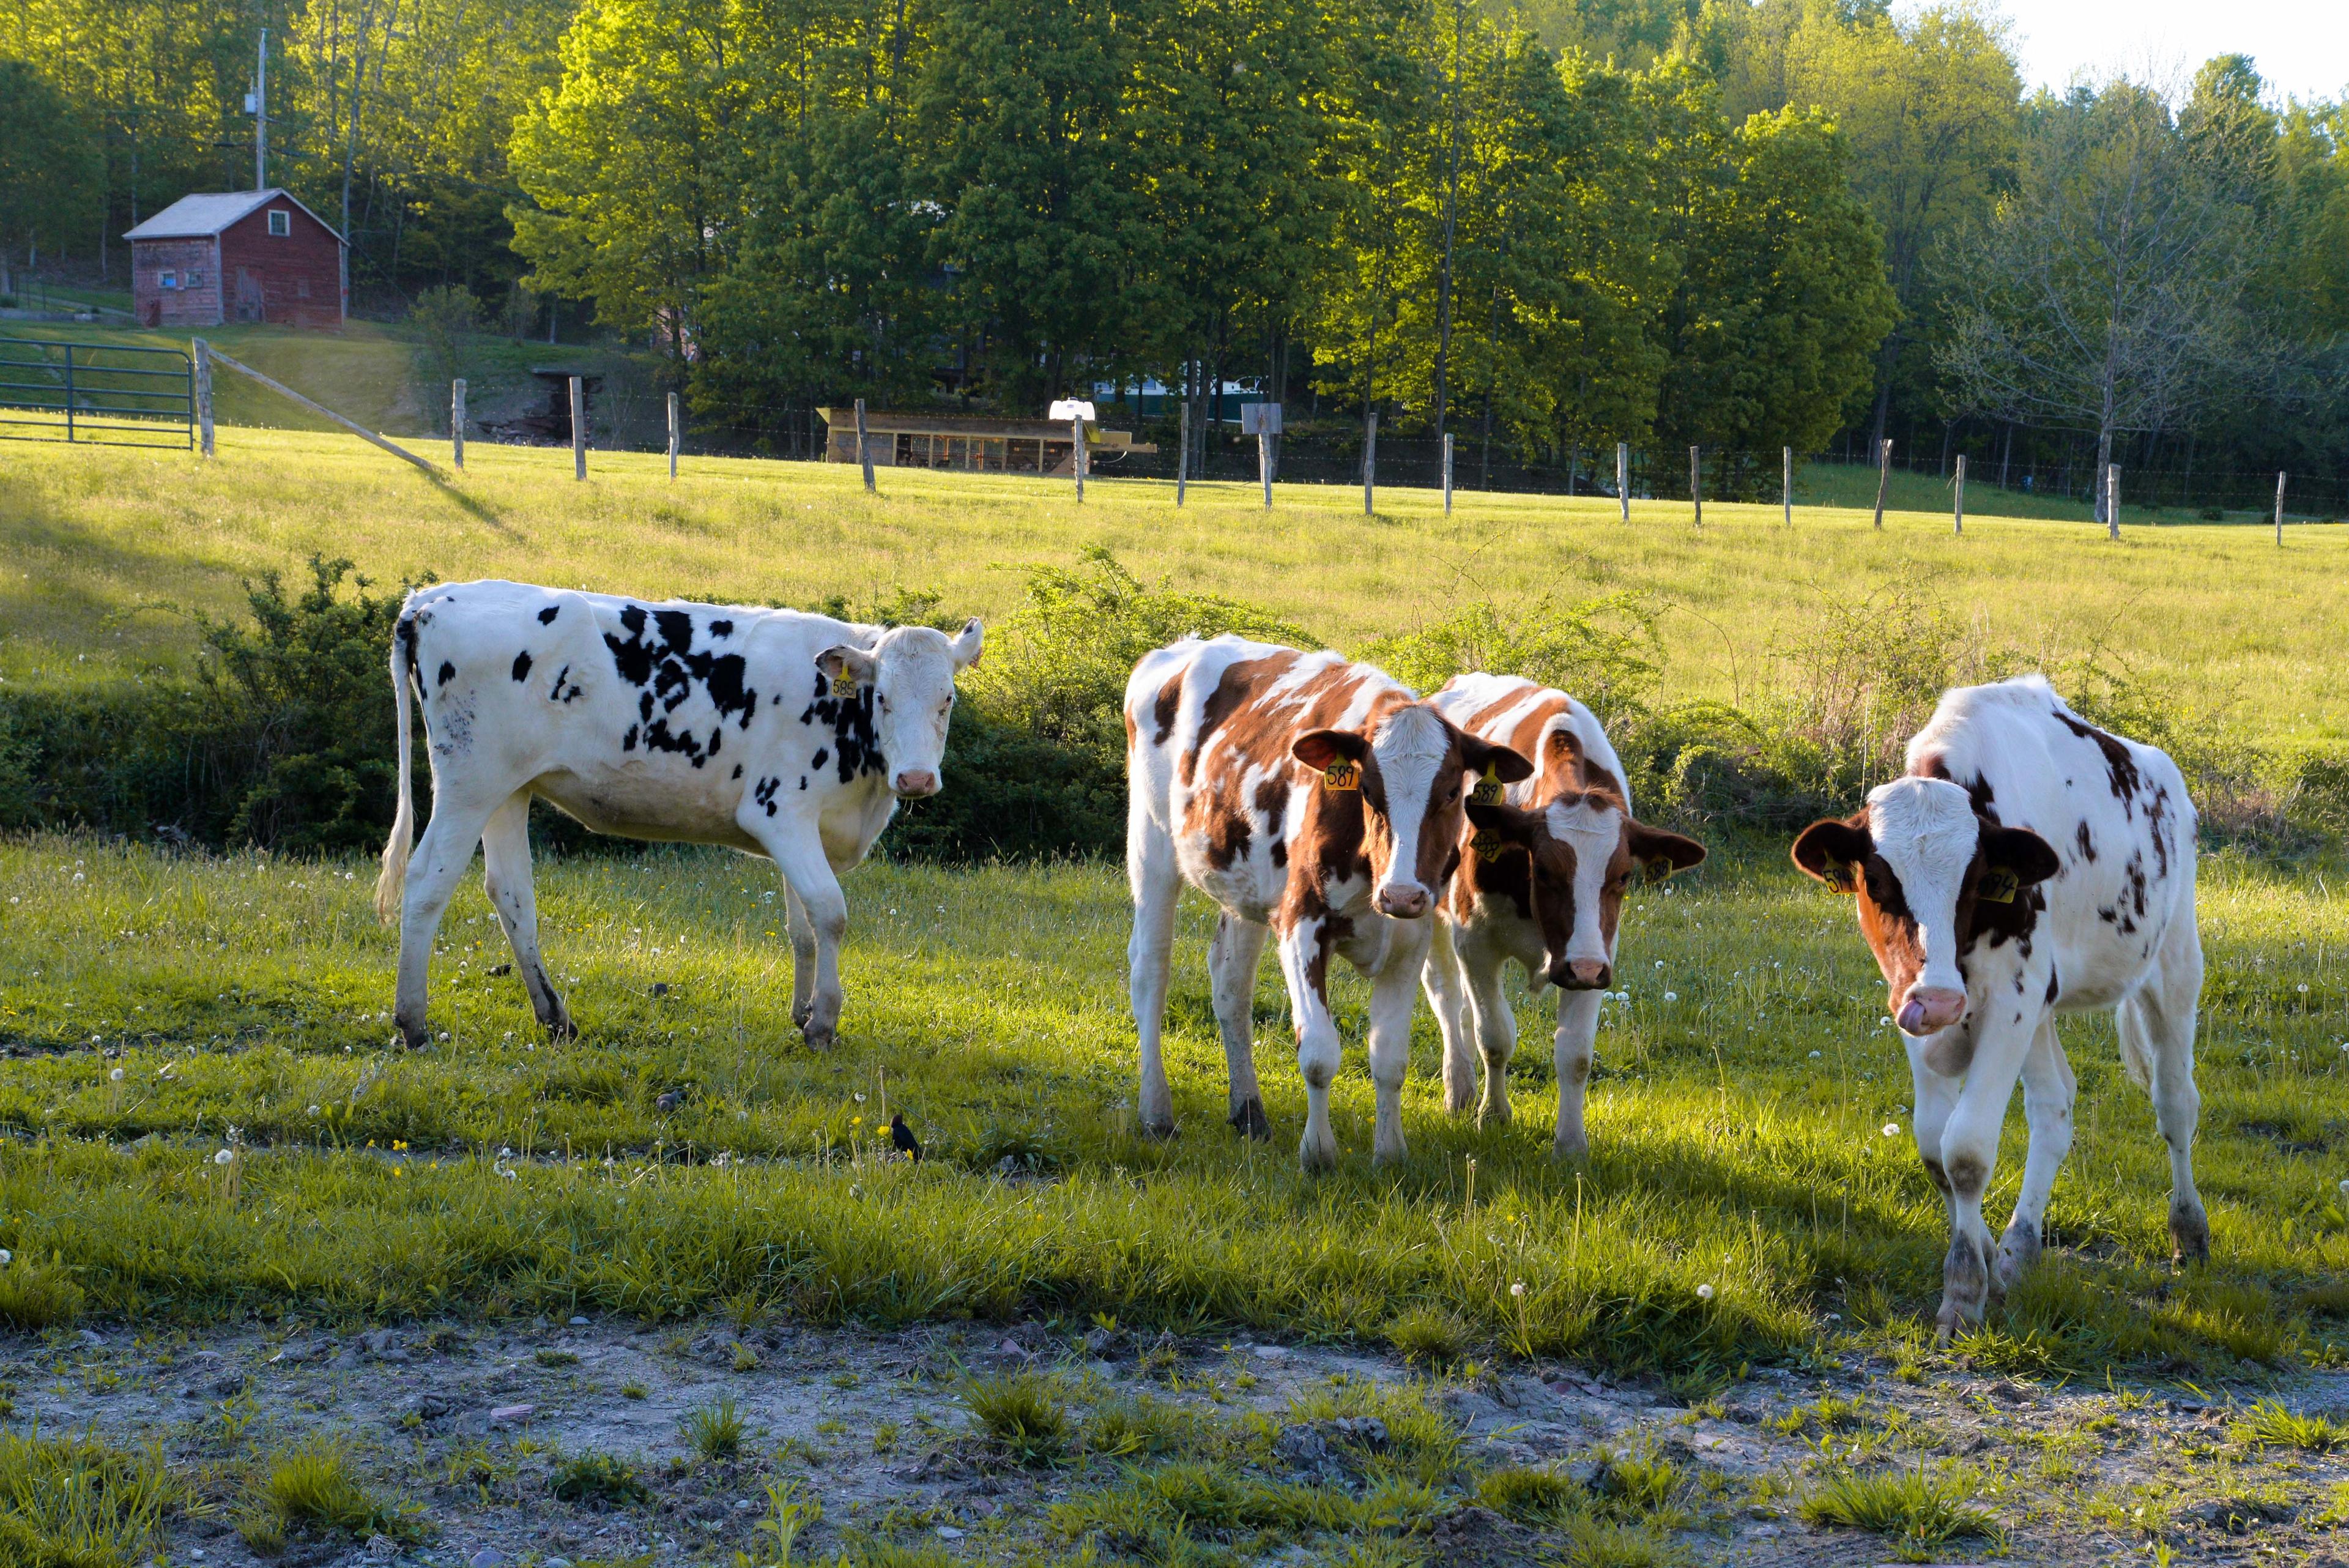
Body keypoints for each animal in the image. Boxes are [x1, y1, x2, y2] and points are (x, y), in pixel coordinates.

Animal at [374, 580, 982, 1051]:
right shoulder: (779, 810)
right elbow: (829, 913)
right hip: (469, 783)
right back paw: (413, 1022)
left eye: (948, 699)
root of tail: (430, 598)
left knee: (512, 892)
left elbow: (802, 927)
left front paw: (802, 1011)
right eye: (882, 698)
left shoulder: (804, 823)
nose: (916, 779)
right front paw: (823, 1023)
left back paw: (556, 1018)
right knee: (428, 880)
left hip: (509, 787)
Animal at [1123, 635, 1533, 1171]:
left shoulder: (1409, 938)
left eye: (1449, 792)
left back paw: (1248, 1111)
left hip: (1246, 886)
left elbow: (1389, 1058)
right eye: (1368, 789)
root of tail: (1181, 646)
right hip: (1150, 845)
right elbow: (1318, 1052)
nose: (1401, 892)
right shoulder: (1301, 925)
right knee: (1151, 970)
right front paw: (1318, 1153)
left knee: (1231, 984)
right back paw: (1156, 1112)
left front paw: (1390, 1153)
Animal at [1418, 674, 1705, 1158]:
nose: (1584, 968)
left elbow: (1575, 1053)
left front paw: (1571, 1143)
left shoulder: (1596, 954)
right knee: (1447, 997)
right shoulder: (1476, 943)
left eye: (1623, 876)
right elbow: (1495, 1036)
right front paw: (1493, 1116)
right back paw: (1459, 1089)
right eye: (1546, 871)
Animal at [1791, 675, 2204, 1340]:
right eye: (1876, 880)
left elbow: (1966, 1149)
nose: (1938, 998)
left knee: (2175, 1104)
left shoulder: (2010, 998)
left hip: (2172, 964)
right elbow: (1934, 1145)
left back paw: (2188, 1230)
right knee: (2054, 1106)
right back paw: (2019, 1247)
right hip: (2040, 1008)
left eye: (1977, 878)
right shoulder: (1912, 1002)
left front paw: (1963, 1291)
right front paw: (1985, 1256)